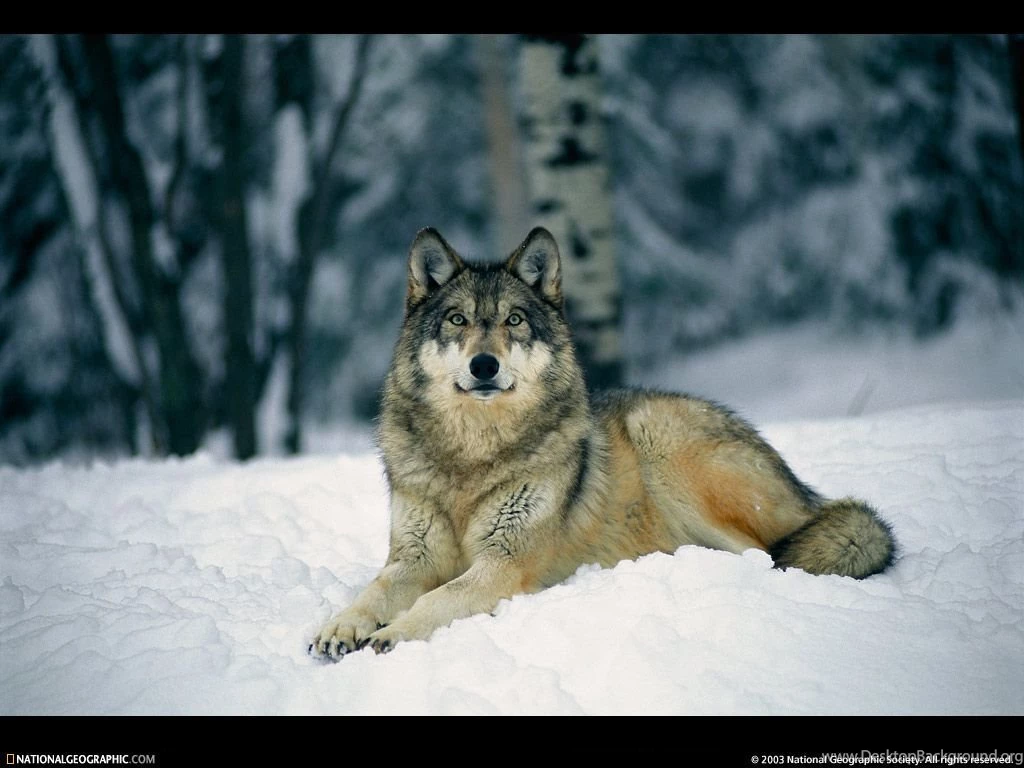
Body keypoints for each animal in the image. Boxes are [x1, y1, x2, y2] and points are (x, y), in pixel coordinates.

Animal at [310, 227, 896, 659]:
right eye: (458, 320)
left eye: (513, 320)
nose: (484, 365)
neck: (472, 455)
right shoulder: (413, 558)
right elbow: (374, 591)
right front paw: (341, 626)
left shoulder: (503, 563)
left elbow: (438, 600)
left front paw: (391, 634)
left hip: (662, 441)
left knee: (767, 555)